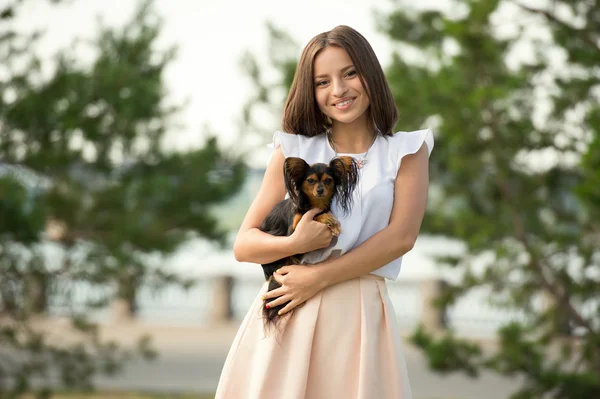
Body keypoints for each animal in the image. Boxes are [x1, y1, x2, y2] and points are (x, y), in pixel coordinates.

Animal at [260, 155, 358, 332]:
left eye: (328, 180)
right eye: (311, 181)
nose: (320, 190)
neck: (315, 204)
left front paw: (332, 222)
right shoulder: (295, 230)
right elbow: (314, 216)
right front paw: (328, 219)